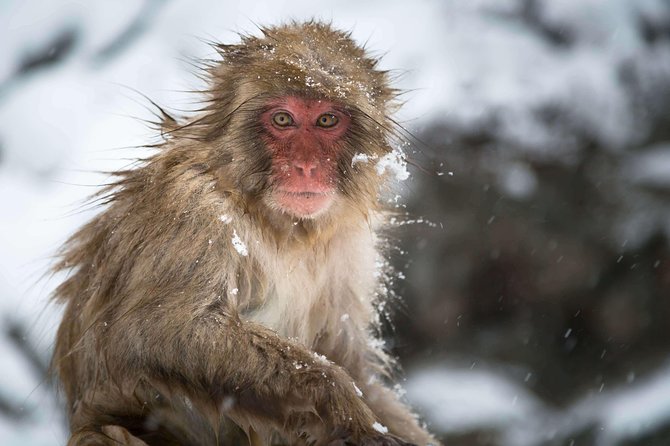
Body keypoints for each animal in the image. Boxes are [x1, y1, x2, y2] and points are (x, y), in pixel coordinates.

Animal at [52, 21, 438, 446]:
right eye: (283, 120)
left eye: (326, 120)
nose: (305, 167)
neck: (283, 225)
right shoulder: (193, 211)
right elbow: (156, 331)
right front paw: (344, 408)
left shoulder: (349, 245)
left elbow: (347, 358)